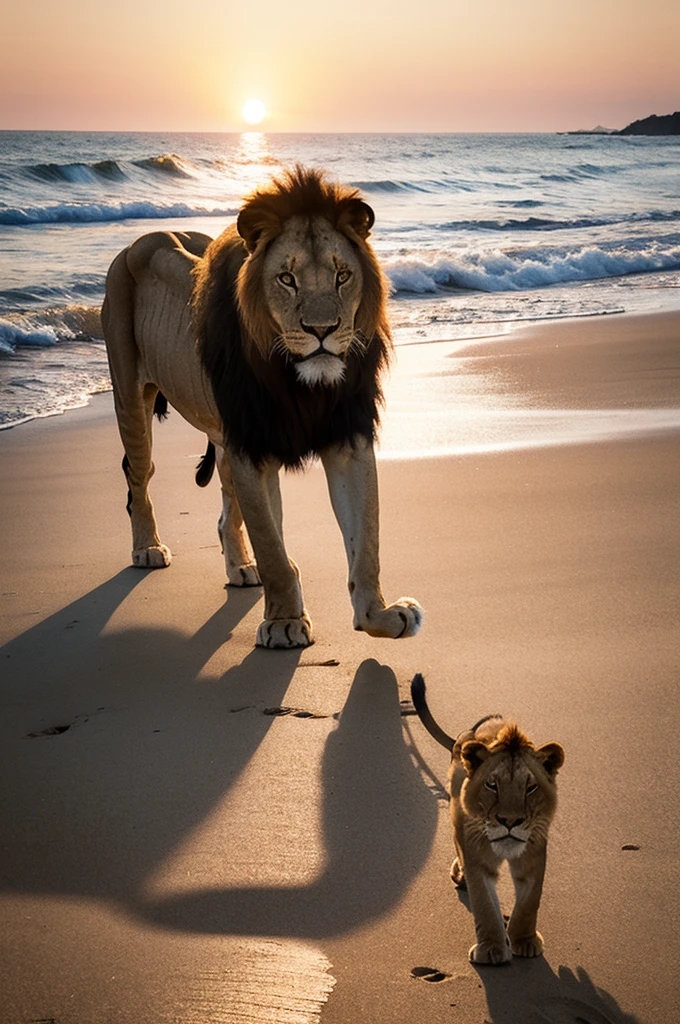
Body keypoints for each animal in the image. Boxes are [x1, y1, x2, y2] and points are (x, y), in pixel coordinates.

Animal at [101, 167, 421, 647]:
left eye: (342, 276)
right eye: (286, 279)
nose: (323, 330)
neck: (303, 385)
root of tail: (140, 241)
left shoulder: (346, 439)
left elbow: (366, 542)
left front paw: (382, 614)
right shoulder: (253, 447)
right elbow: (272, 545)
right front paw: (285, 621)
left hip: (223, 433)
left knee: (226, 511)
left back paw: (240, 567)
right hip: (132, 401)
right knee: (140, 477)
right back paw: (148, 547)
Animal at [409, 675, 561, 962]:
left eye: (530, 787)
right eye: (492, 785)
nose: (510, 821)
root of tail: (464, 736)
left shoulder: (534, 853)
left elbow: (529, 902)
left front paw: (524, 941)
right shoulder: (477, 855)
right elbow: (485, 904)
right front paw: (491, 949)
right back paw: (459, 875)